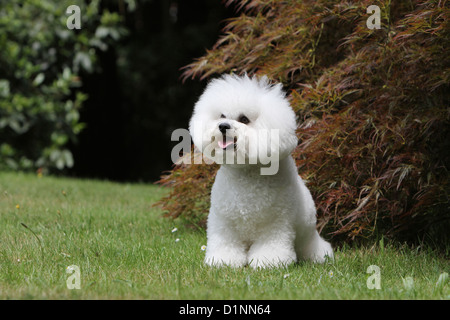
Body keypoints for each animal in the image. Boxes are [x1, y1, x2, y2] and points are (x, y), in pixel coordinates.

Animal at [188, 74, 332, 268]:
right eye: (222, 116)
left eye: (244, 119)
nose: (223, 126)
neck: (246, 172)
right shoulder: (224, 223)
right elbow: (225, 243)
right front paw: (223, 261)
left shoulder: (275, 224)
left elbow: (271, 245)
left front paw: (268, 262)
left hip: (307, 237)